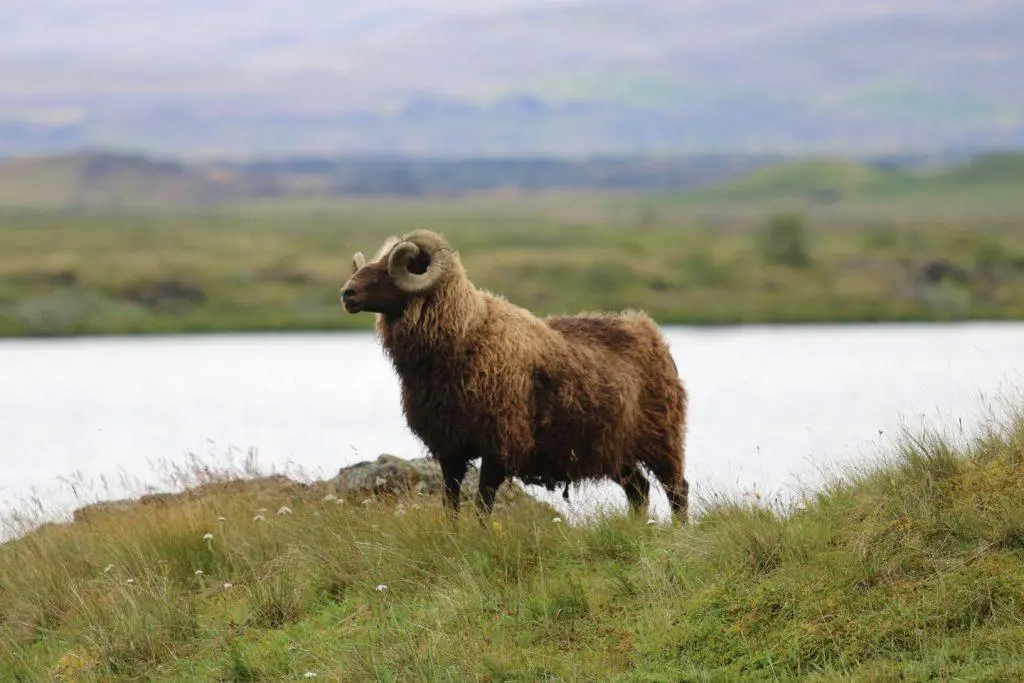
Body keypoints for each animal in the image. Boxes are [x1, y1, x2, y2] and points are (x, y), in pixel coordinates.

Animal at [339, 229, 689, 523]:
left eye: (391, 268)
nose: (347, 293)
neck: (468, 335)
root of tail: (648, 329)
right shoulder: (450, 447)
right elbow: (450, 504)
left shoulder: (500, 442)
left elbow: (483, 504)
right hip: (615, 447)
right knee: (639, 489)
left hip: (662, 437)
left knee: (676, 488)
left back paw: (679, 533)